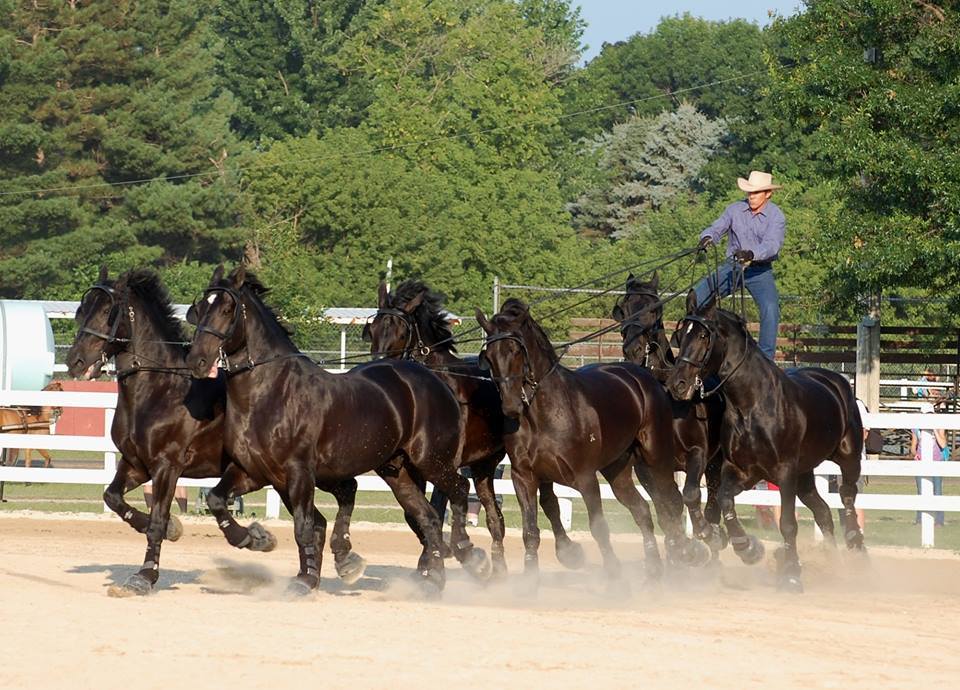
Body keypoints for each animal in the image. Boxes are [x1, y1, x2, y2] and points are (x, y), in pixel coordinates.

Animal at [187, 264, 488, 592]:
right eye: (200, 309)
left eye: (227, 309)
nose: (197, 360)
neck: (271, 393)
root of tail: (435, 380)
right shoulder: (254, 471)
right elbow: (217, 499)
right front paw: (254, 538)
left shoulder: (299, 473)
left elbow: (305, 526)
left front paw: (305, 580)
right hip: (397, 472)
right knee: (428, 517)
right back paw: (434, 579)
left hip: (432, 460)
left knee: (459, 490)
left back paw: (467, 553)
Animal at [362, 280, 580, 576]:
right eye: (372, 329)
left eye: (401, 331)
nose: (378, 371)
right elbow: (415, 512)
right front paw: (432, 557)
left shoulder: (444, 461)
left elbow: (438, 505)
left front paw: (442, 554)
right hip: (484, 464)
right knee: (495, 517)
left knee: (548, 501)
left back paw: (566, 549)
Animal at [474, 296, 704, 592]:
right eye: (490, 356)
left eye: (516, 350)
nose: (511, 406)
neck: (543, 413)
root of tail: (643, 376)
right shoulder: (524, 477)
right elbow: (531, 531)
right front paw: (529, 583)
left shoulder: (585, 478)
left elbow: (599, 528)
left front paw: (615, 577)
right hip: (617, 469)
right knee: (642, 510)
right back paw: (654, 570)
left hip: (656, 460)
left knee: (671, 503)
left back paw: (684, 557)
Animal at [612, 272, 724, 552]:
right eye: (625, 308)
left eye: (655, 309)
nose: (634, 350)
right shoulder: (647, 468)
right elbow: (667, 505)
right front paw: (679, 546)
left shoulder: (698, 453)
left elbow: (690, 494)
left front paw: (704, 534)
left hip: (717, 461)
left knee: (714, 498)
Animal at [668, 292, 864, 592]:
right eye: (680, 335)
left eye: (703, 335)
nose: (677, 384)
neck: (752, 405)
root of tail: (834, 379)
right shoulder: (739, 471)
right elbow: (725, 501)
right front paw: (746, 547)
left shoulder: (784, 474)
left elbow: (788, 524)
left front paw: (792, 574)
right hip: (805, 476)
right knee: (823, 512)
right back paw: (835, 566)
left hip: (848, 457)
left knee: (848, 494)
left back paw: (856, 544)